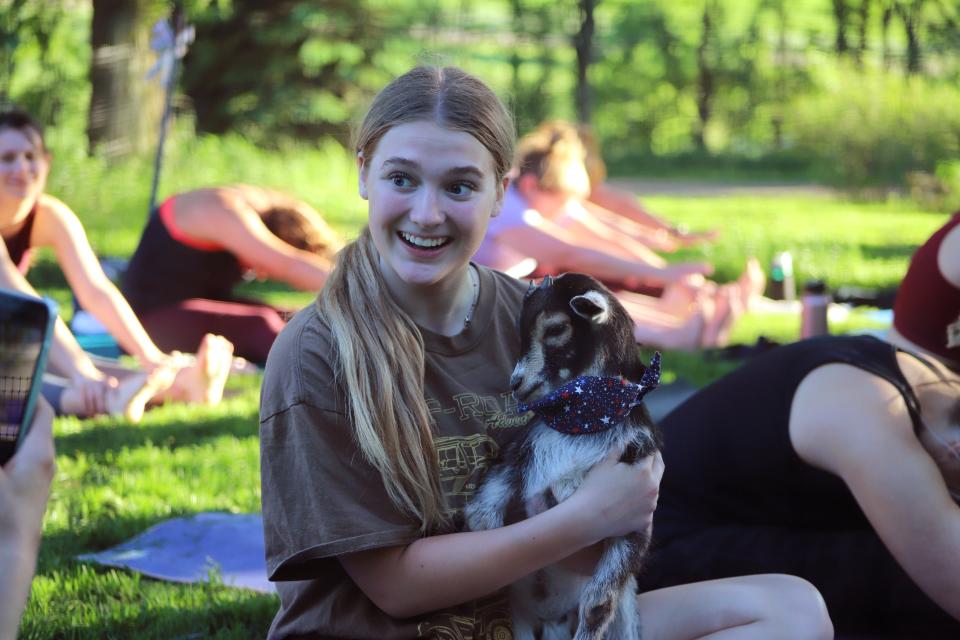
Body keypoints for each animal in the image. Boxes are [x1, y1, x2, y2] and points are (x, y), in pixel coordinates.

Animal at [464, 274, 660, 640]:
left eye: (556, 328)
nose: (516, 382)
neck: (583, 422)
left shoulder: (637, 510)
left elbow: (598, 605)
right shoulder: (520, 453)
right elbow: (483, 509)